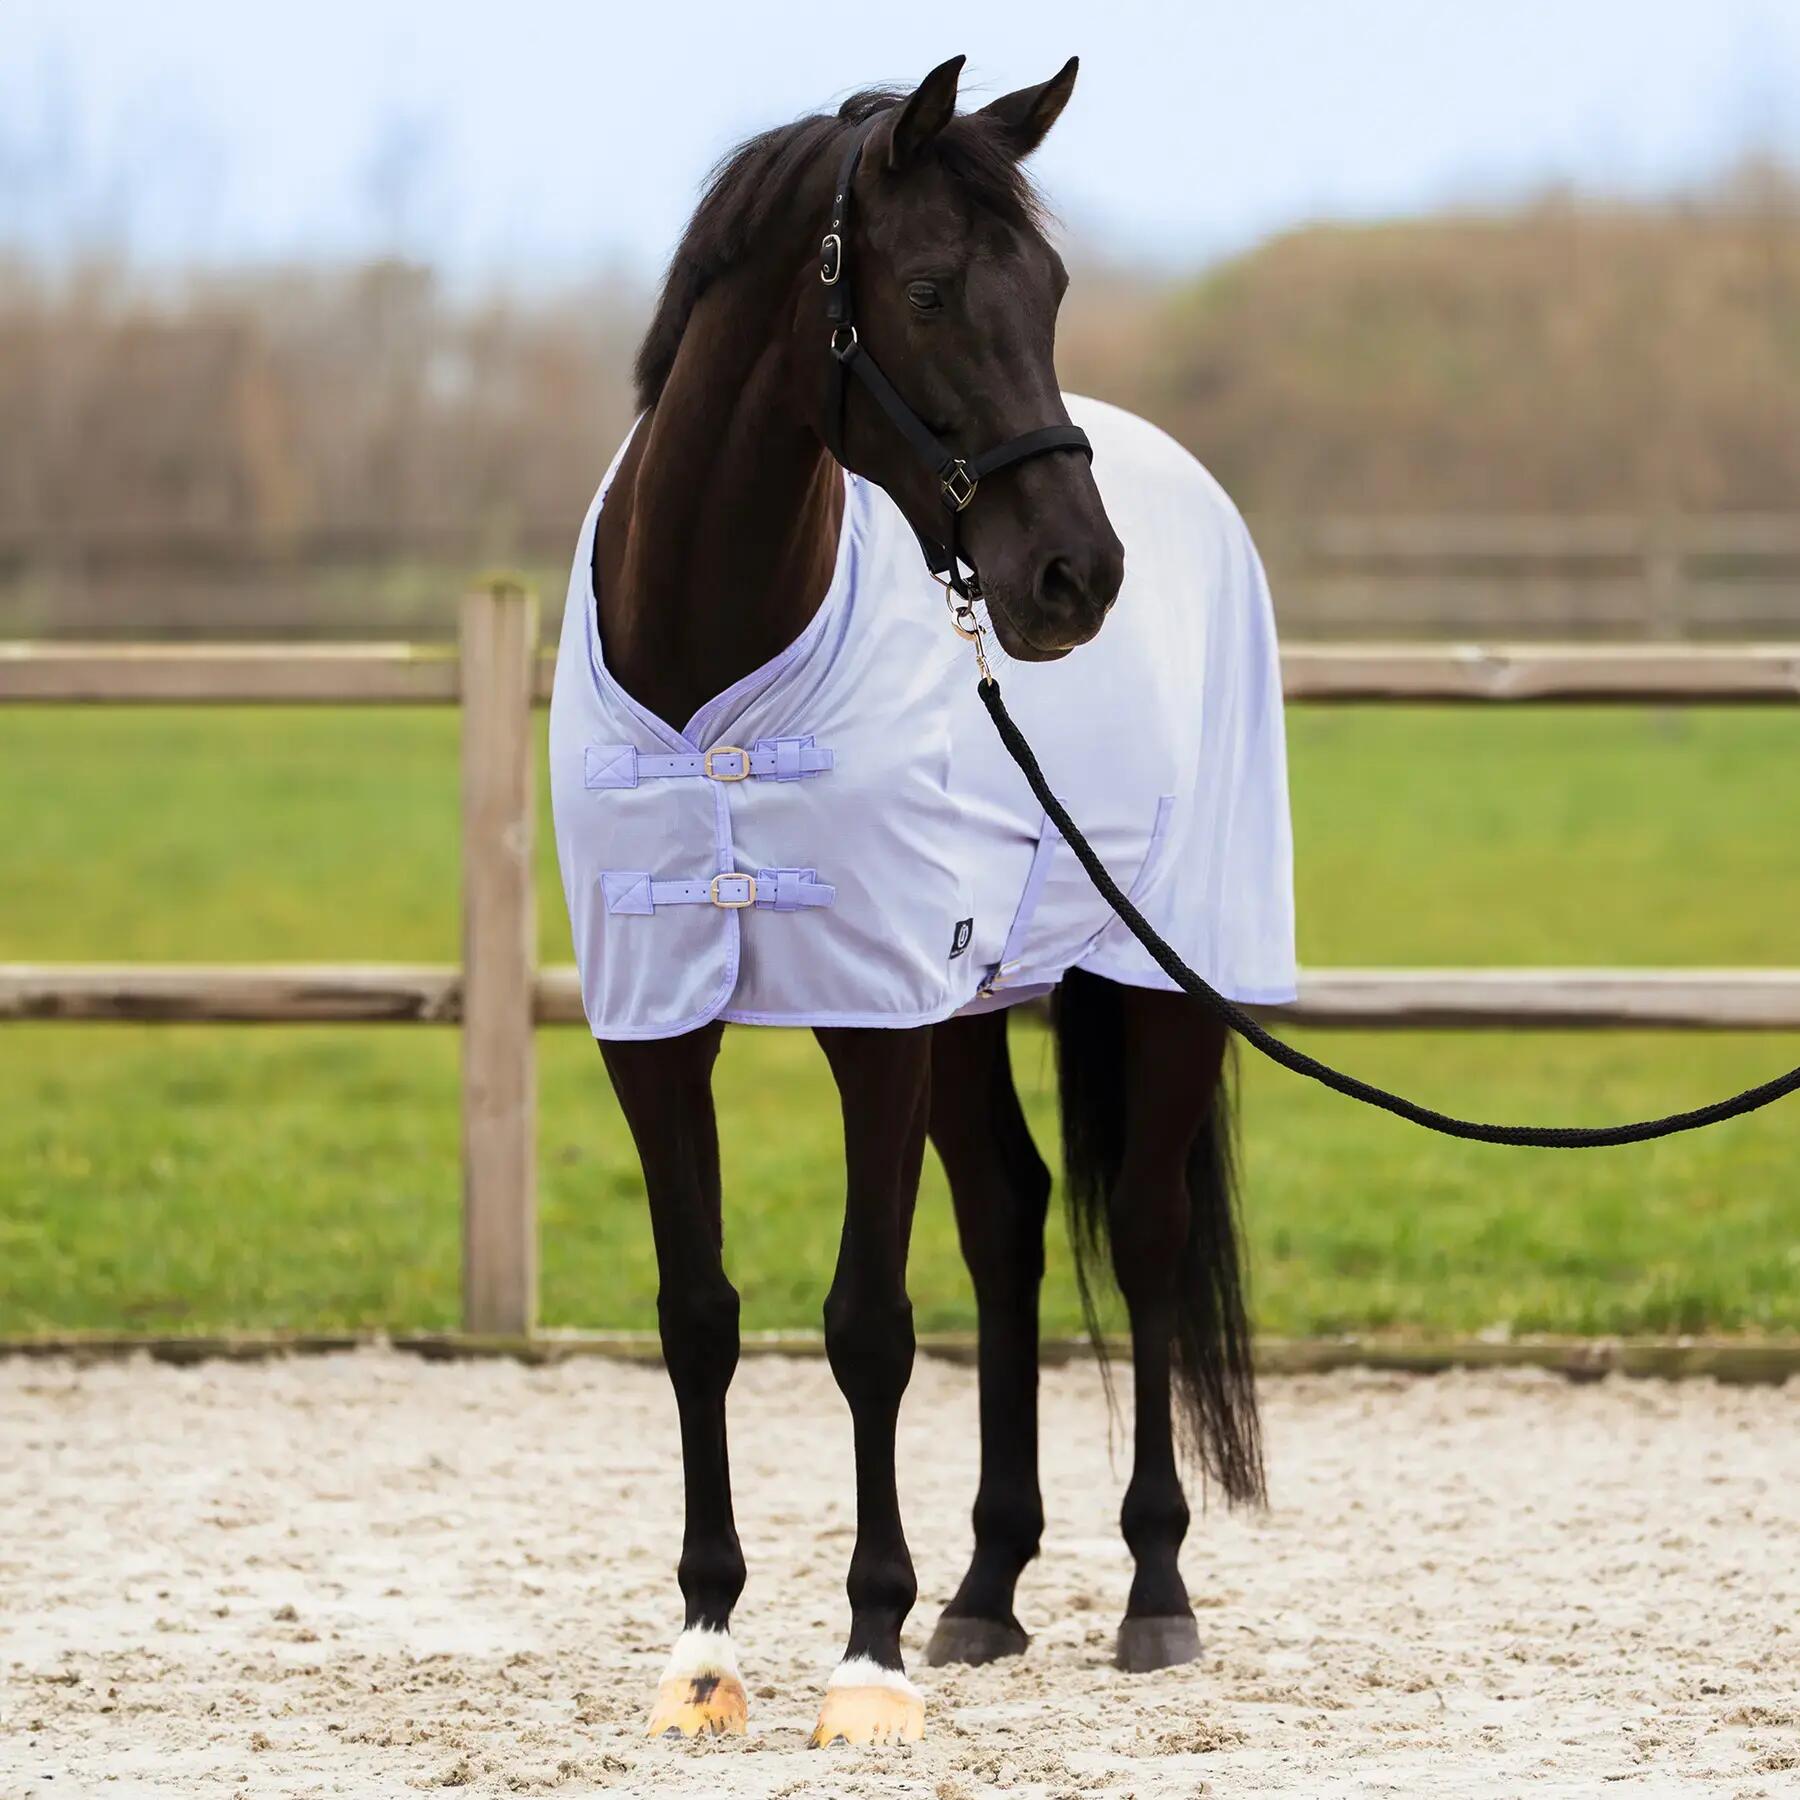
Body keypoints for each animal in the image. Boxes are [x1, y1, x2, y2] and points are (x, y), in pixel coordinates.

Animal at [547, 54, 1296, 1747]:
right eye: (936, 289)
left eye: (1056, 289)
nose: (1075, 579)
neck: (711, 670)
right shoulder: (655, 1026)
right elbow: (699, 1312)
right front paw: (706, 1647)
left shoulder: (872, 1019)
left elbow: (866, 1327)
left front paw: (865, 1655)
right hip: (971, 999)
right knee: (1010, 1223)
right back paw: (987, 1592)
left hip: (1164, 980)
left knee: (1142, 1238)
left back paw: (1153, 1595)